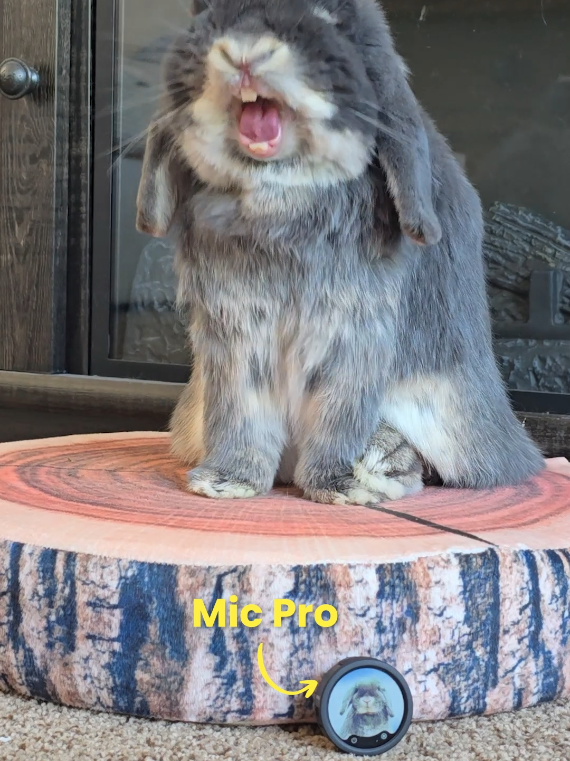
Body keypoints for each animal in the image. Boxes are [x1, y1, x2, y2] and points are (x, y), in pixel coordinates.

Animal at [136, 0, 544, 506]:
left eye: (328, 19)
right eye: (208, 15)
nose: (244, 53)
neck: (279, 192)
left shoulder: (353, 331)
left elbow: (339, 414)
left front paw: (339, 486)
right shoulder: (236, 335)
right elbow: (241, 412)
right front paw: (227, 481)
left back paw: (384, 462)